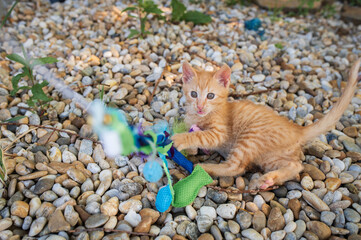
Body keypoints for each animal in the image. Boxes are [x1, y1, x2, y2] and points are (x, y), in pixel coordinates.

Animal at [171, 59, 360, 189]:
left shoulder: (220, 132)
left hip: (250, 136)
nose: (200, 106)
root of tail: (297, 129)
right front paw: (190, 145)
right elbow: (196, 132)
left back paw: (205, 167)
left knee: (237, 167)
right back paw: (269, 179)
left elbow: (200, 134)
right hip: (270, 157)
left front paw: (180, 139)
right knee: (295, 165)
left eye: (210, 96)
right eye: (194, 94)